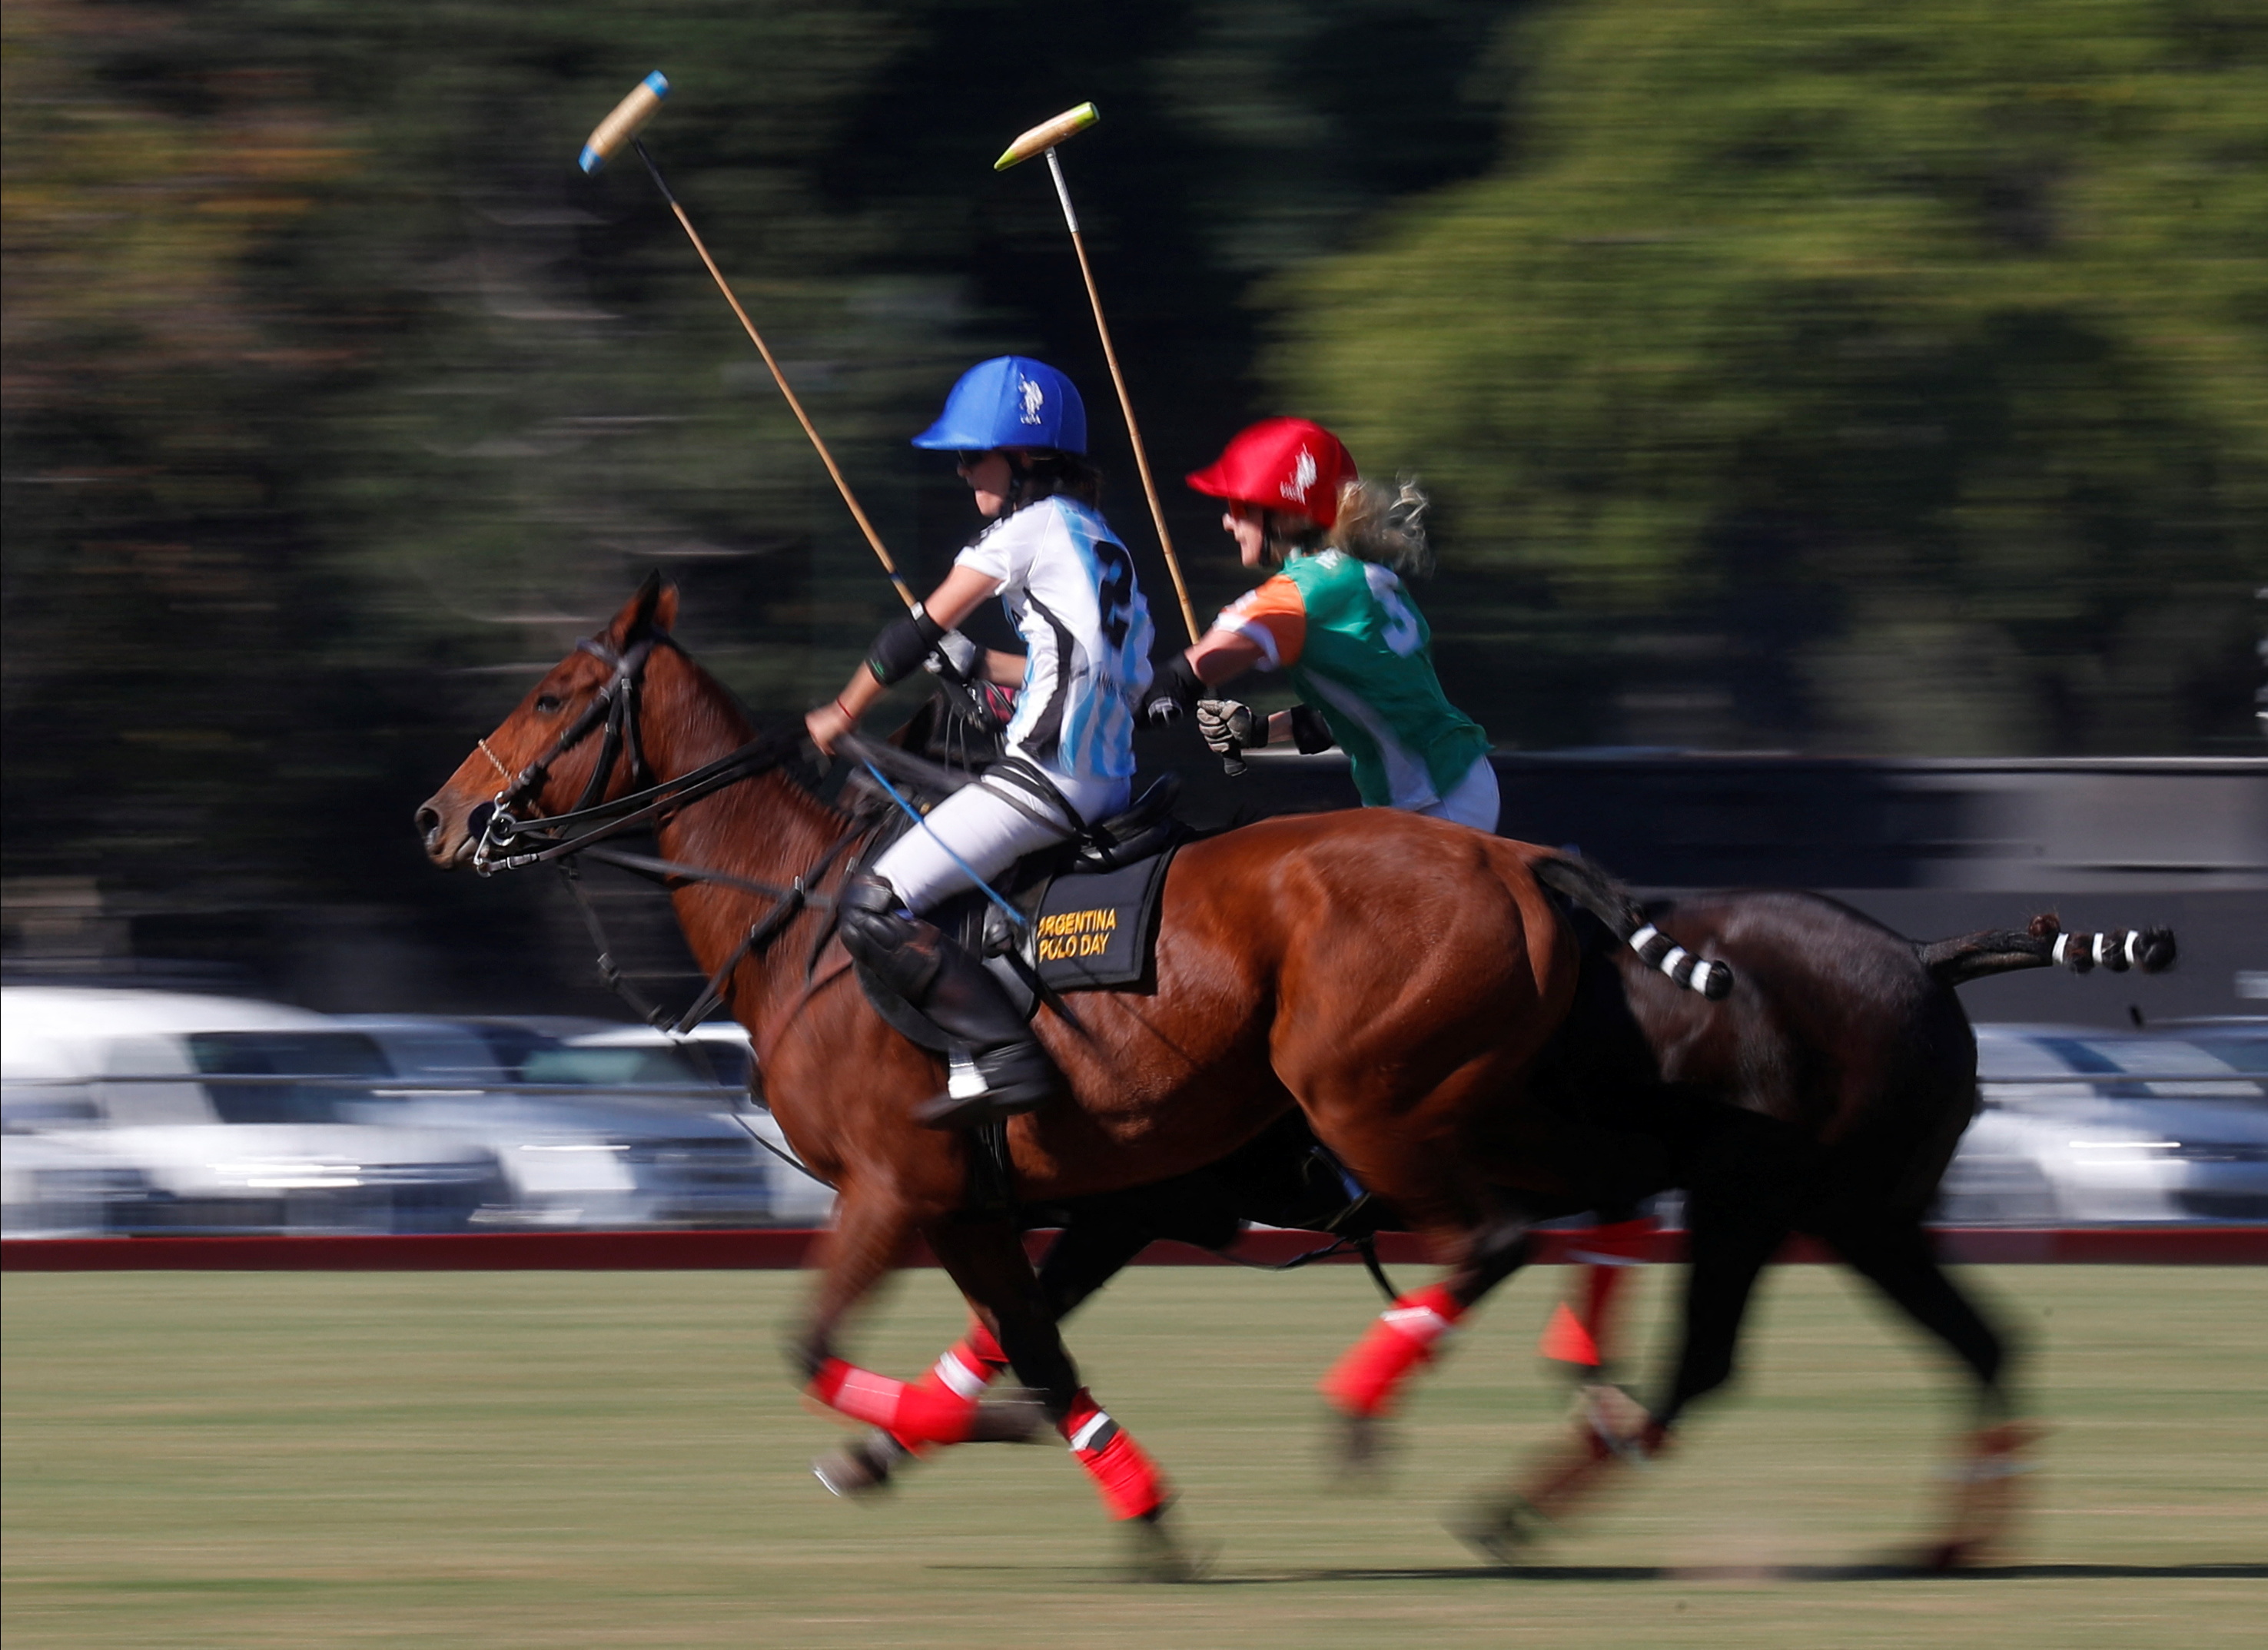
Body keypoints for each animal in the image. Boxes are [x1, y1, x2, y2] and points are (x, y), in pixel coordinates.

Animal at [413, 584, 1687, 1568]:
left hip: (1370, 1102)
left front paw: (947, 1432)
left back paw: (1384, 1416)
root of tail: (1516, 861)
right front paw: (1124, 1499)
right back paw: (1578, 1425)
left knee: (1502, 1234)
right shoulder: (993, 1199)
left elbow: (819, 1347)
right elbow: (1031, 1342)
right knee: (1608, 1203)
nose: (439, 815)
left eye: (551, 694)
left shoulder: (894, 1185)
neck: (804, 919)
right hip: (1488, 1106)